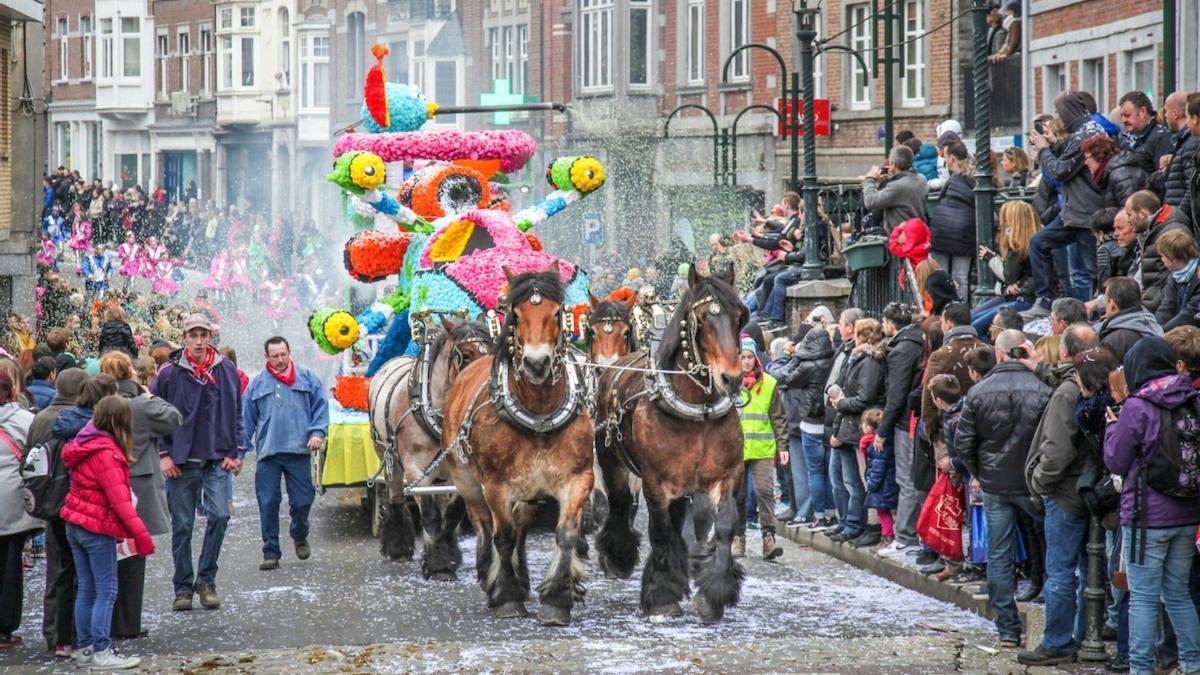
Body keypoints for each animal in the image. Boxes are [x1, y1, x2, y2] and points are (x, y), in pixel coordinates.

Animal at [369, 314, 492, 571]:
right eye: (465, 355)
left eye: (494, 347)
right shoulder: (416, 470)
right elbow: (430, 515)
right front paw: (439, 566)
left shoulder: (462, 468)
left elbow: (452, 513)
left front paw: (446, 555)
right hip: (388, 457)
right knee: (396, 495)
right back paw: (397, 548)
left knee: (442, 500)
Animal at [441, 264, 595, 624]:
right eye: (516, 312)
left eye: (557, 312)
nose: (537, 363)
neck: (539, 415)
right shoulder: (496, 485)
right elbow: (504, 536)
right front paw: (507, 596)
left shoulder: (578, 479)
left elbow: (566, 534)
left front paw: (557, 597)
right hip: (466, 479)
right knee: (485, 526)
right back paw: (490, 576)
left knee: (521, 523)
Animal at [592, 263, 748, 619]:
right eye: (702, 319)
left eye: (739, 317)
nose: (731, 378)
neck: (698, 411)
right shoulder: (655, 480)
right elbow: (659, 531)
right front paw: (661, 596)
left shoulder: (728, 474)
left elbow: (725, 525)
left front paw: (713, 592)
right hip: (612, 461)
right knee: (620, 504)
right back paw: (619, 556)